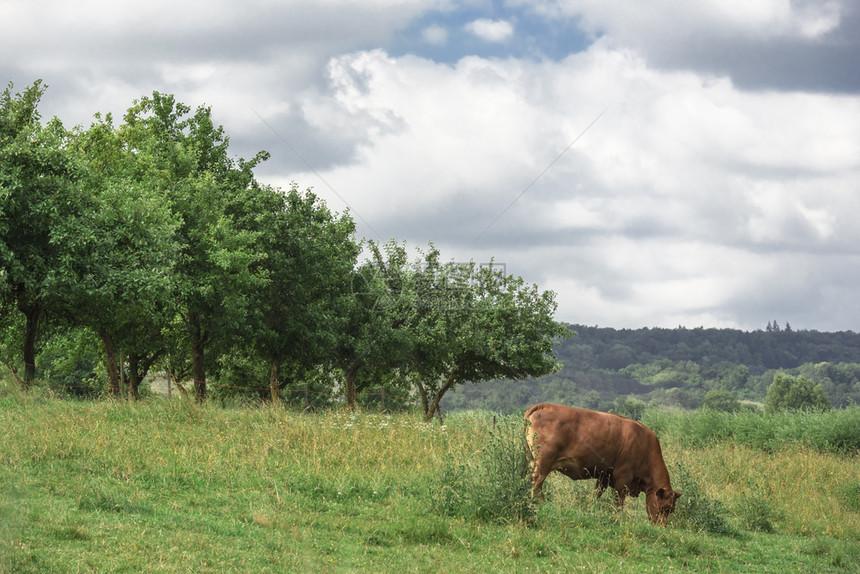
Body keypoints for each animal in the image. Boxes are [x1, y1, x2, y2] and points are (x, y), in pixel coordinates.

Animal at [520, 404, 680, 528]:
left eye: (672, 510)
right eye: (663, 507)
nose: (661, 527)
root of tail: (545, 405)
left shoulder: (604, 475)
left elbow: (597, 493)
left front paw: (591, 507)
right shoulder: (623, 476)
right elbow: (619, 500)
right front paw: (618, 517)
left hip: (533, 459)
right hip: (543, 461)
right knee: (537, 482)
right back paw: (537, 503)